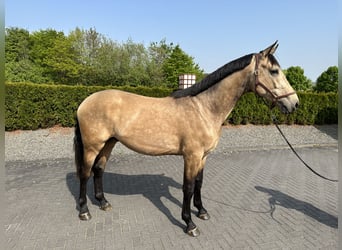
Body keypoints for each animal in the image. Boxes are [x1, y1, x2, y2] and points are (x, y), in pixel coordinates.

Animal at [73, 41, 298, 236]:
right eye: (274, 71)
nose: (294, 103)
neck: (204, 108)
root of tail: (85, 102)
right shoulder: (191, 156)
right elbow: (188, 188)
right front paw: (190, 223)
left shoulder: (203, 156)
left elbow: (199, 183)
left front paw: (202, 211)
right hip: (93, 146)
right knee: (85, 173)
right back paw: (84, 211)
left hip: (109, 143)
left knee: (98, 170)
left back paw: (103, 203)